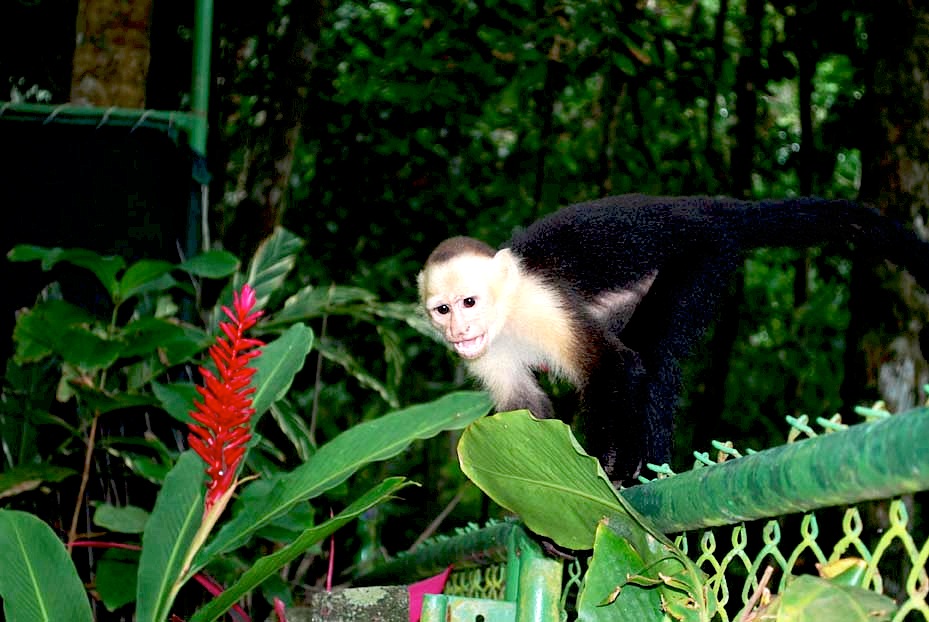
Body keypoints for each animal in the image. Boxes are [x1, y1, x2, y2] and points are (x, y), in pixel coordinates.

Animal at [416, 193, 928, 486]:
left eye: (469, 302)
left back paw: (645, 473)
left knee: (652, 355)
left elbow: (614, 366)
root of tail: (703, 207)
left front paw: (600, 472)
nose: (459, 331)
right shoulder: (483, 353)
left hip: (705, 252)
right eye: (443, 310)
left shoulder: (541, 304)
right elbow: (526, 410)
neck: (505, 313)